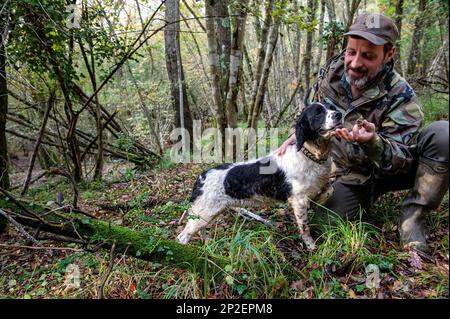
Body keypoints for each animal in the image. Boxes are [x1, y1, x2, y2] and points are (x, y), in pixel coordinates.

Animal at [176, 104, 342, 251]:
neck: (310, 155)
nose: (339, 114)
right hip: (205, 212)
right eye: (318, 113)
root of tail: (201, 176)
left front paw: (318, 201)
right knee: (182, 237)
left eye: (331, 107)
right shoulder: (298, 200)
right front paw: (311, 247)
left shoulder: (320, 185)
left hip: (210, 213)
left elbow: (330, 190)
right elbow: (305, 228)